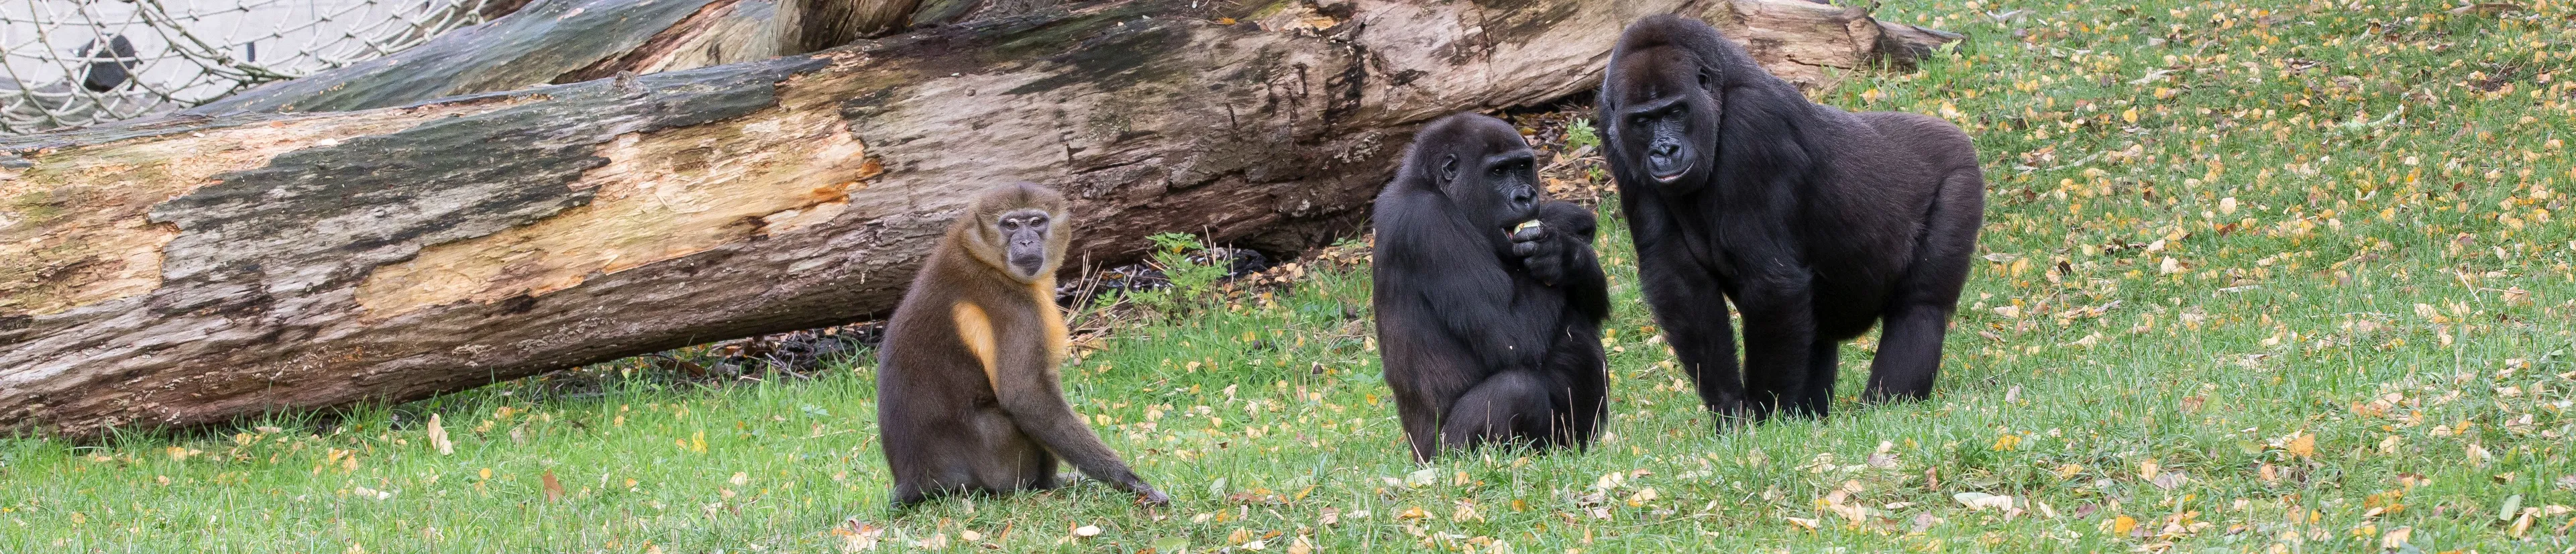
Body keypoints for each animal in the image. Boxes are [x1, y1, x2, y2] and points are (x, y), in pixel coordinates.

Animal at [874, 182, 1169, 507]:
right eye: (1011, 225)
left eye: (1037, 222)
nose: (1026, 241)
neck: (982, 254)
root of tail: (915, 483)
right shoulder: (1017, 308)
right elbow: (1025, 396)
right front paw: (1129, 481)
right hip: (1000, 466)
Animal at [1372, 113, 1612, 462]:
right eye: (1498, 172)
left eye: (1523, 167)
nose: (1526, 197)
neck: (1431, 184)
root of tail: (1418, 460)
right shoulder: (1428, 221)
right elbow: (1512, 337)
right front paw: (1562, 223)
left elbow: (1588, 309)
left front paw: (1567, 256)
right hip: (1445, 458)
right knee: (1515, 390)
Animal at [1597, 15, 1986, 422]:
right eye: (1642, 121)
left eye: (1675, 112)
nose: (1665, 151)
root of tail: (1957, 132)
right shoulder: (1613, 129)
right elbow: (1679, 280)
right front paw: (1729, 408)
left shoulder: (1753, 126)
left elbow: (1772, 282)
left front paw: (1765, 416)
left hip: (1959, 173)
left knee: (1921, 306)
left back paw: (1887, 407)